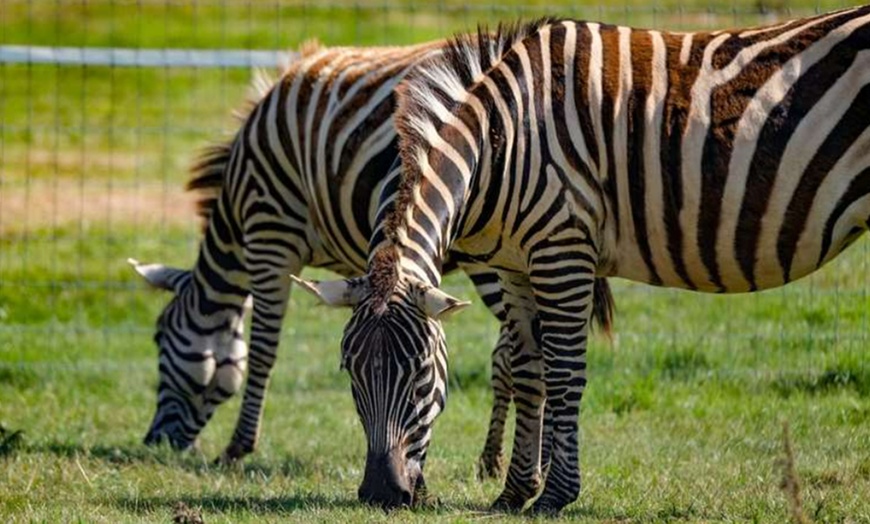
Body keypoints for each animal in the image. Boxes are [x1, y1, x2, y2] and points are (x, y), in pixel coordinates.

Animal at [129, 40, 616, 466]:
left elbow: (265, 349)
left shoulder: (270, 235)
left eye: (159, 337)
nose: (154, 442)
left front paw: (239, 447)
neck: (236, 197)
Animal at [294, 8, 870, 512]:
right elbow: (528, 371)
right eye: (349, 371)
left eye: (420, 373)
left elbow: (564, 371)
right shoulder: (516, 264)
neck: (499, 145)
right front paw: (513, 493)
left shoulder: (562, 248)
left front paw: (554, 496)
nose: (382, 495)